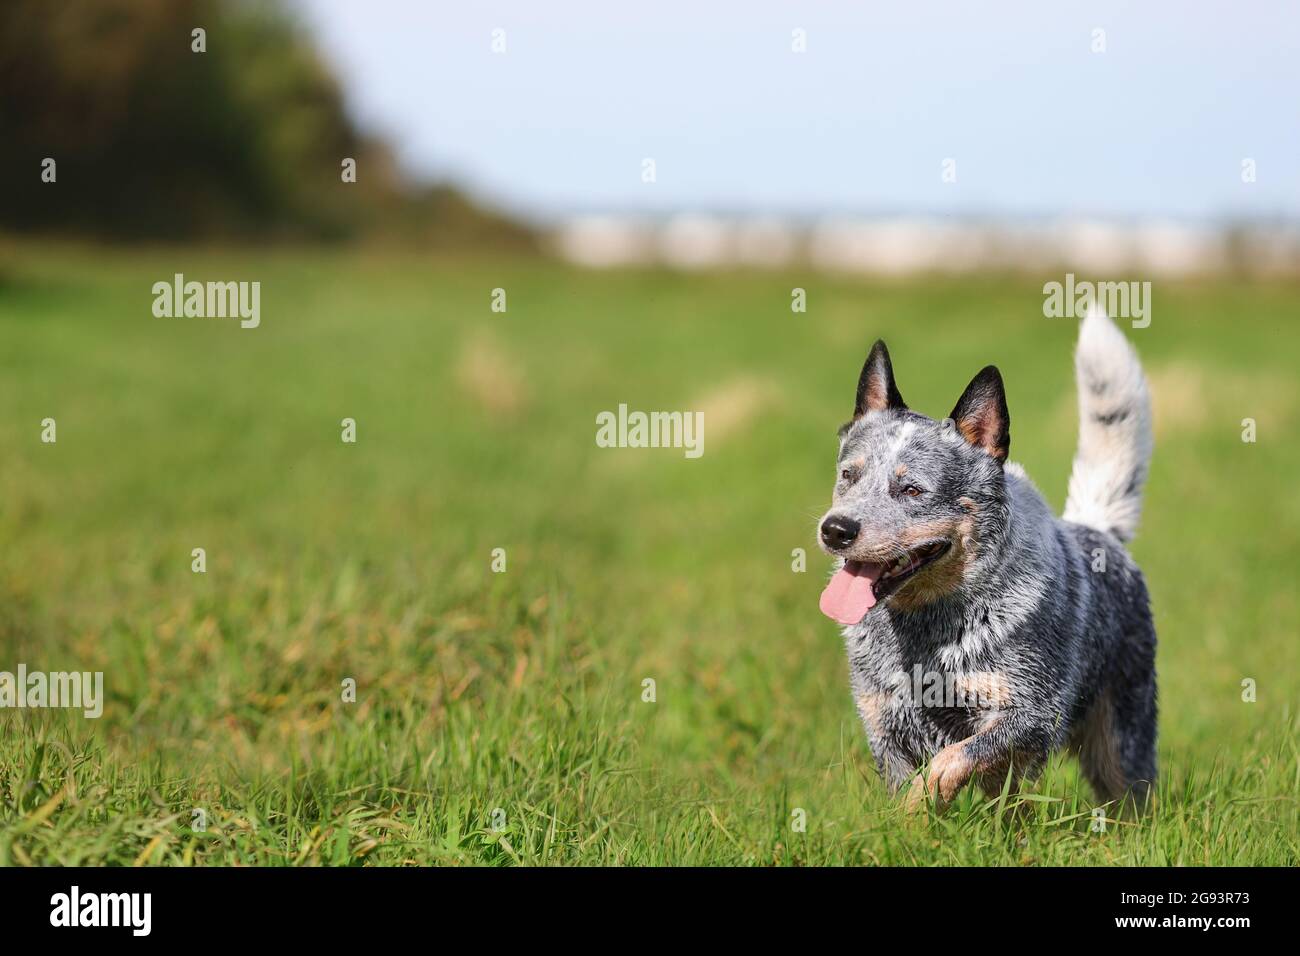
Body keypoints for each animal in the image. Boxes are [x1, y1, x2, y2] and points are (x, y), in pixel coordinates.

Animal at [816, 310, 1164, 811]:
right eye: (849, 475)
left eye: (912, 490)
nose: (835, 529)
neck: (926, 629)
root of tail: (1097, 530)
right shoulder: (882, 722)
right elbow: (908, 789)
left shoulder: (1031, 712)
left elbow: (955, 758)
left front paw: (931, 794)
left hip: (1121, 740)